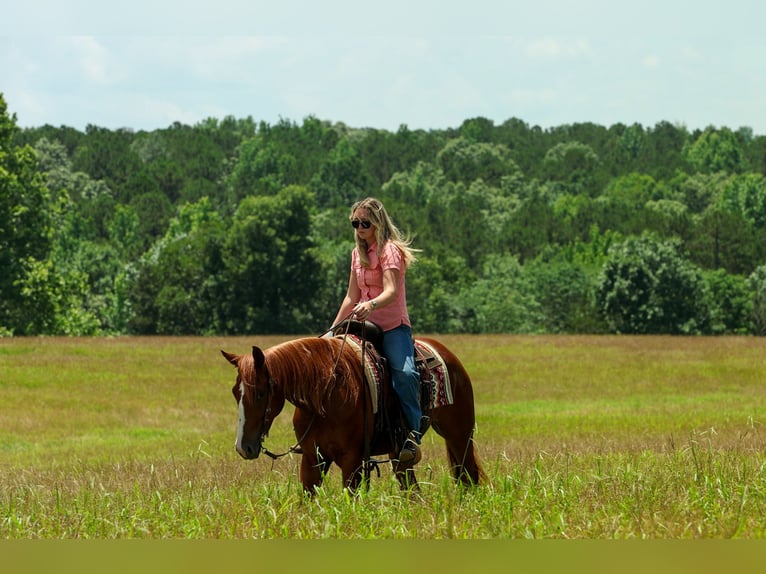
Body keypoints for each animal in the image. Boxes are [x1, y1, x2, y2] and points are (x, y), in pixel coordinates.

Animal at [221, 328, 483, 494]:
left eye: (260, 393)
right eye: (235, 392)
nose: (243, 447)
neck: (323, 397)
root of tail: (446, 353)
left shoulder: (352, 461)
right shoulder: (312, 459)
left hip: (459, 436)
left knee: (468, 477)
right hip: (399, 452)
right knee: (411, 485)